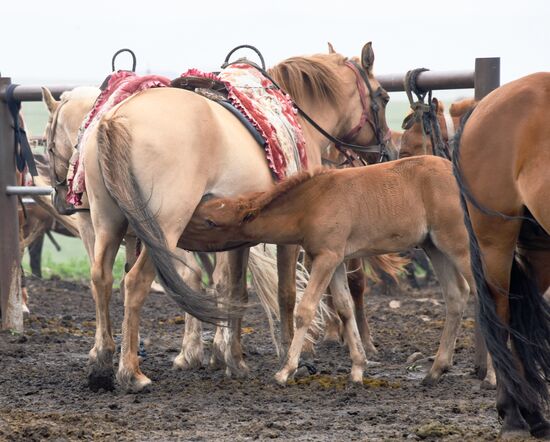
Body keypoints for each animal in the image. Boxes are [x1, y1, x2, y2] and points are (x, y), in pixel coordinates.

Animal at [83, 44, 396, 390]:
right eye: (384, 97)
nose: (388, 152)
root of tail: (117, 118)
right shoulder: (290, 237)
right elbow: (286, 295)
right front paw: (290, 359)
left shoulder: (238, 235)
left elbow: (236, 291)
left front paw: (235, 361)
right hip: (162, 231)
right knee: (135, 282)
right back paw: (131, 371)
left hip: (107, 222)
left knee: (101, 278)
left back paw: (101, 363)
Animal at [185, 157, 474, 386]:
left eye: (210, 222)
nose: (180, 234)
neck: (313, 202)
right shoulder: (335, 261)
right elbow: (345, 308)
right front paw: (358, 367)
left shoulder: (326, 258)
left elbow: (305, 310)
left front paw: (286, 370)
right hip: (434, 247)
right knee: (457, 295)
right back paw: (436, 369)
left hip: (459, 246)